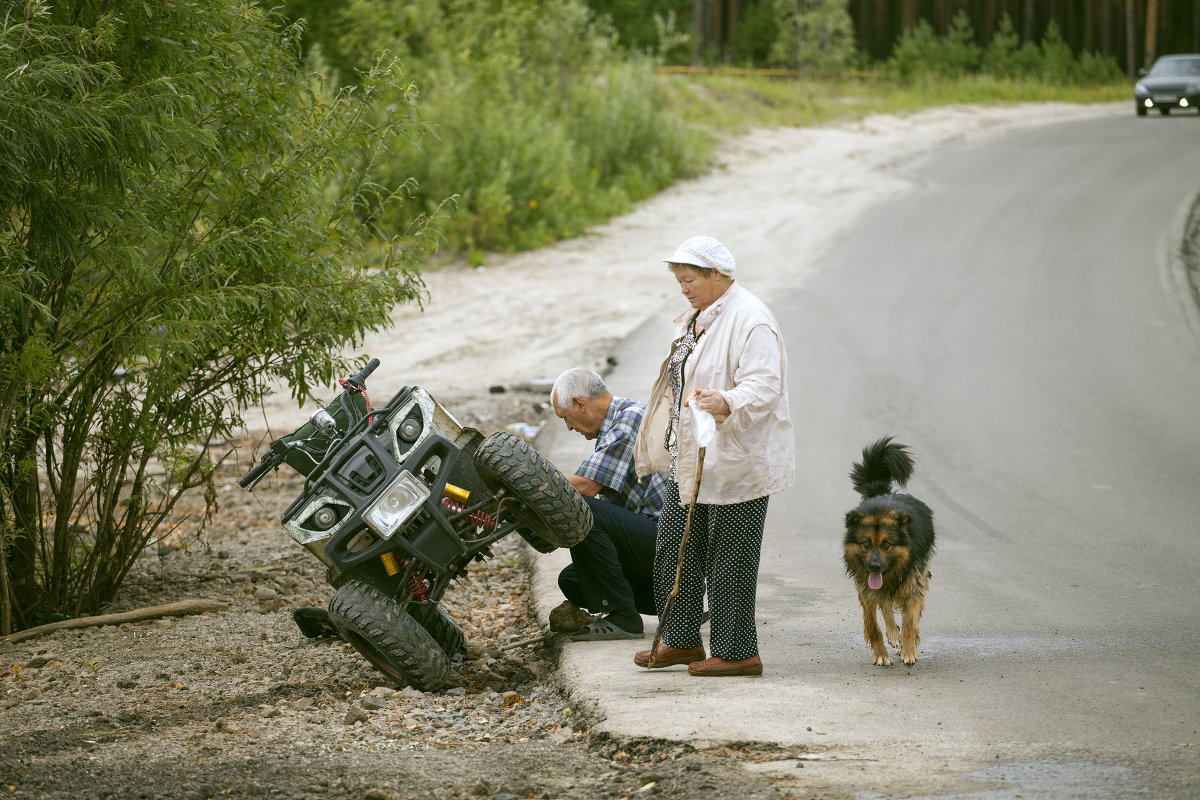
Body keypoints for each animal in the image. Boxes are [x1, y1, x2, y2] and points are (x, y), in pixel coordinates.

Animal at [840, 434, 931, 666]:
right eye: (866, 544)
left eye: (887, 545)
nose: (874, 566)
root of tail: (882, 494)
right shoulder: (866, 589)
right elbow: (873, 625)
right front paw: (881, 653)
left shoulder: (914, 585)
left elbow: (910, 622)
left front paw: (909, 651)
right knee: (885, 605)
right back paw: (892, 633)